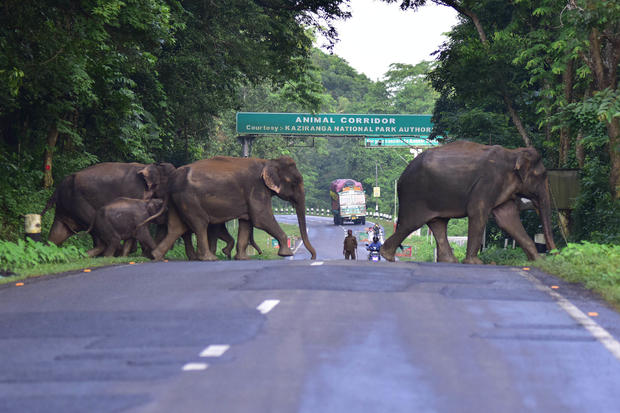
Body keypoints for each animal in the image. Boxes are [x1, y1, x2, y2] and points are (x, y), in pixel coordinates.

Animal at [149, 156, 314, 260]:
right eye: (295, 182)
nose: (313, 256)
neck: (268, 161)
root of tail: (172, 178)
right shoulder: (256, 188)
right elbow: (261, 218)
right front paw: (287, 254)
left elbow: (246, 222)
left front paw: (242, 258)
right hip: (189, 199)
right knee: (200, 224)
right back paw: (209, 258)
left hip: (177, 200)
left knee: (176, 227)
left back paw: (155, 256)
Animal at [382, 142, 556, 262]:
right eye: (543, 175)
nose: (554, 254)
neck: (513, 153)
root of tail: (402, 176)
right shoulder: (489, 181)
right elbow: (477, 212)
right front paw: (474, 262)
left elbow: (507, 218)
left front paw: (538, 261)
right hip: (415, 195)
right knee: (411, 224)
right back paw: (388, 256)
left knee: (438, 224)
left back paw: (450, 261)